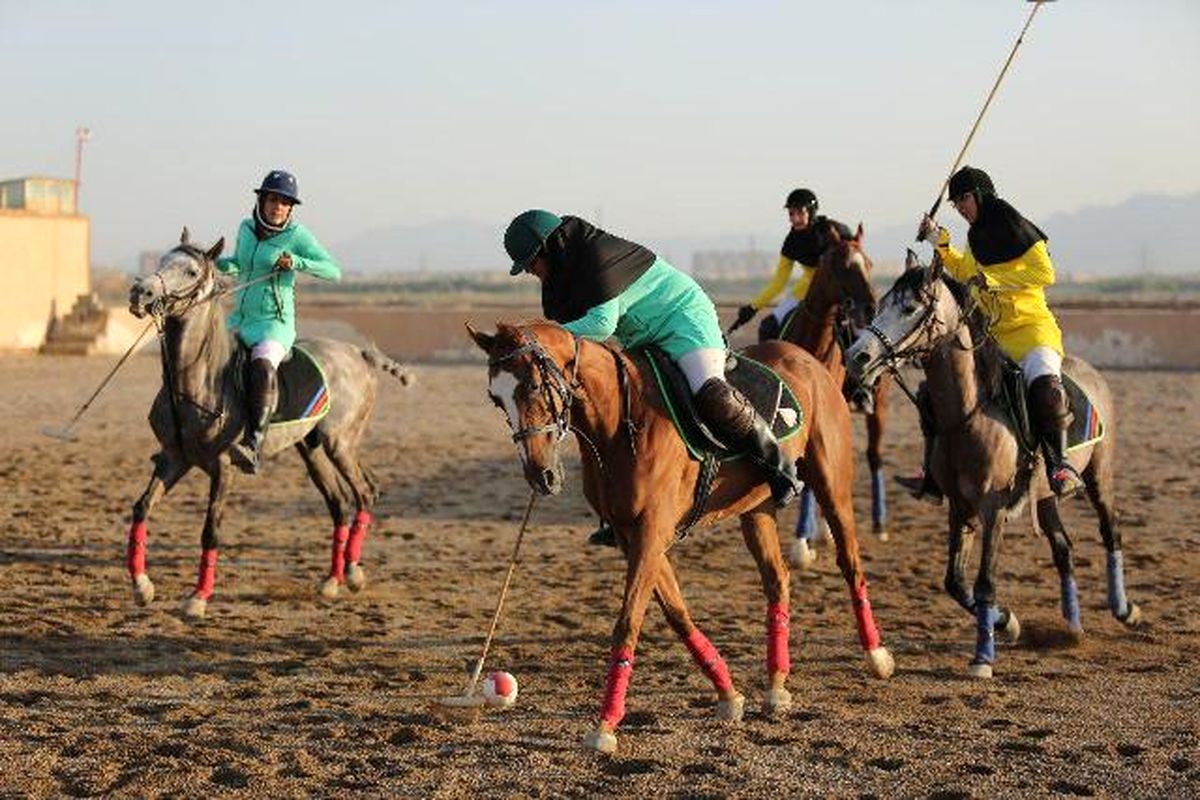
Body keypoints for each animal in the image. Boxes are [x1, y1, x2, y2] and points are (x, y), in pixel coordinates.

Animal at [124, 227, 410, 623]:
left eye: (191, 271)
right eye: (163, 260)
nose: (141, 292)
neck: (197, 380)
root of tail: (359, 354)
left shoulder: (223, 468)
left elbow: (210, 532)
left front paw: (198, 598)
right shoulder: (174, 458)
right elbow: (142, 508)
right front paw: (142, 586)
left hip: (340, 442)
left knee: (364, 493)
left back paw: (353, 573)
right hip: (311, 448)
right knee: (339, 502)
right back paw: (332, 581)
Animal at [465, 321, 892, 758]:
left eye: (534, 386)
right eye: (495, 398)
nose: (541, 475)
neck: (618, 422)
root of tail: (807, 359)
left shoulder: (652, 530)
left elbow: (628, 622)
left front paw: (605, 724)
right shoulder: (633, 535)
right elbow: (676, 612)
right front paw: (729, 694)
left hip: (832, 482)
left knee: (850, 563)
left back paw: (876, 655)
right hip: (756, 508)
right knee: (778, 580)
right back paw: (776, 684)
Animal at [777, 221, 892, 566]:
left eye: (870, 264)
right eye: (841, 266)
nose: (870, 308)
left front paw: (805, 541)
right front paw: (805, 541)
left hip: (878, 408)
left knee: (874, 456)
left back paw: (879, 523)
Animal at [844, 253, 1142, 681]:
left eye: (910, 308)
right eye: (881, 304)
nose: (857, 356)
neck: (969, 413)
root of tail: (1090, 371)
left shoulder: (993, 508)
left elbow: (985, 582)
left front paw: (983, 658)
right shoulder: (959, 507)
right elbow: (955, 582)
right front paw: (1009, 623)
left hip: (1099, 474)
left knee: (1110, 531)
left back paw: (1124, 609)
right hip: (1045, 496)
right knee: (1063, 550)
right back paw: (1071, 628)